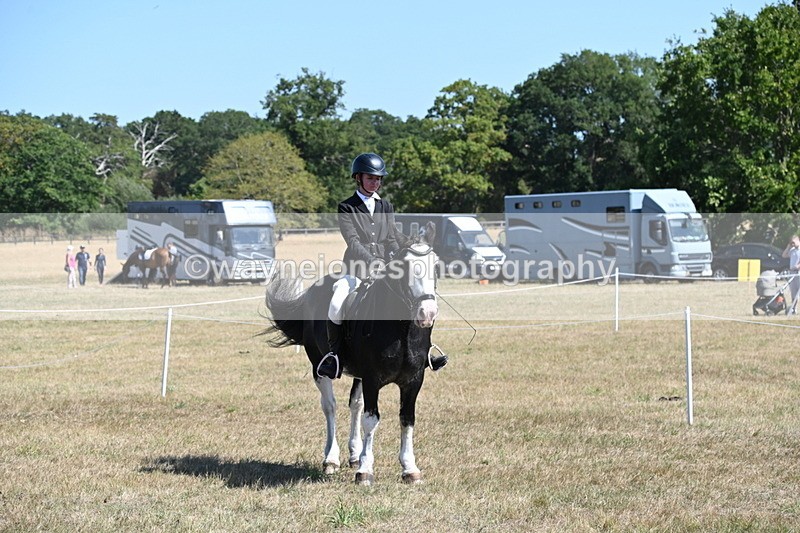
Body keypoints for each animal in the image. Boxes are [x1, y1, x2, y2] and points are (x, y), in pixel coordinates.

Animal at [264, 223, 440, 485]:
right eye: (404, 267)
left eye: (436, 265)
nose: (426, 312)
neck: (401, 330)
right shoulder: (372, 378)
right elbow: (371, 420)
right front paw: (365, 471)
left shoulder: (413, 380)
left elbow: (406, 419)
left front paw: (410, 469)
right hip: (319, 367)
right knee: (330, 406)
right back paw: (331, 460)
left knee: (355, 405)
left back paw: (355, 454)